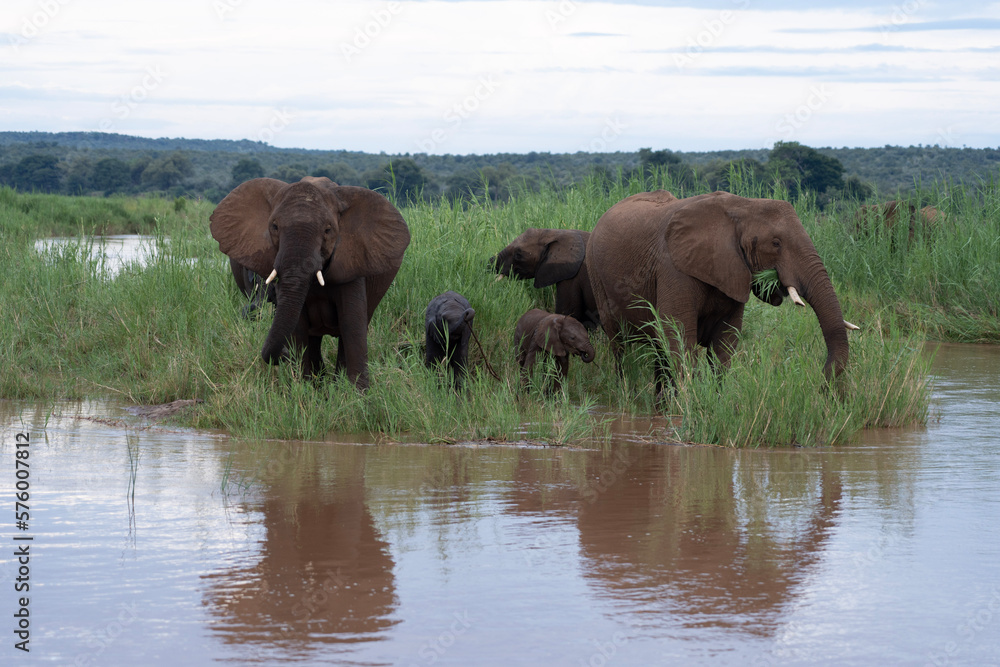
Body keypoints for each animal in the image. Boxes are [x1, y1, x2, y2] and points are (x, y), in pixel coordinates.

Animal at [209, 176, 410, 388]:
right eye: (274, 226)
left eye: (328, 230)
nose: (284, 355)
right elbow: (299, 327)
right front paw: (305, 389)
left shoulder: (353, 263)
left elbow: (352, 324)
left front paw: (357, 393)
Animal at [587, 190, 856, 395]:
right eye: (776, 243)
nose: (820, 386)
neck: (742, 205)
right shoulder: (672, 268)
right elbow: (679, 334)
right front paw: (690, 403)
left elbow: (724, 345)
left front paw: (716, 400)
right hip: (597, 277)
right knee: (620, 346)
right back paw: (626, 392)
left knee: (658, 350)